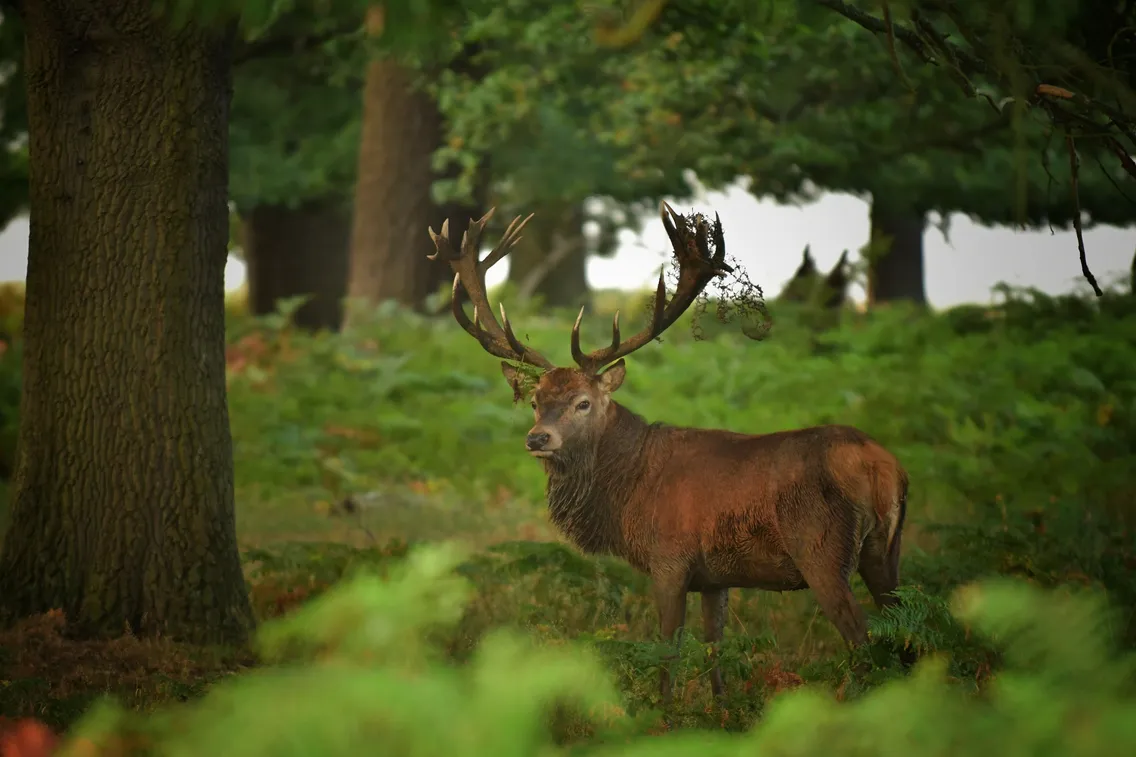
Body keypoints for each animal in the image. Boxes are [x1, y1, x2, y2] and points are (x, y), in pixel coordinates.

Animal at [426, 202, 913, 703]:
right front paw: (719, 710)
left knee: (864, 640)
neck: (628, 492)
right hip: (886, 551)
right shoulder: (716, 577)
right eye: (536, 401)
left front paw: (662, 713)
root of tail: (883, 467)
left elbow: (668, 652)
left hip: (821, 548)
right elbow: (715, 649)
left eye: (583, 402)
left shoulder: (669, 560)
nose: (537, 438)